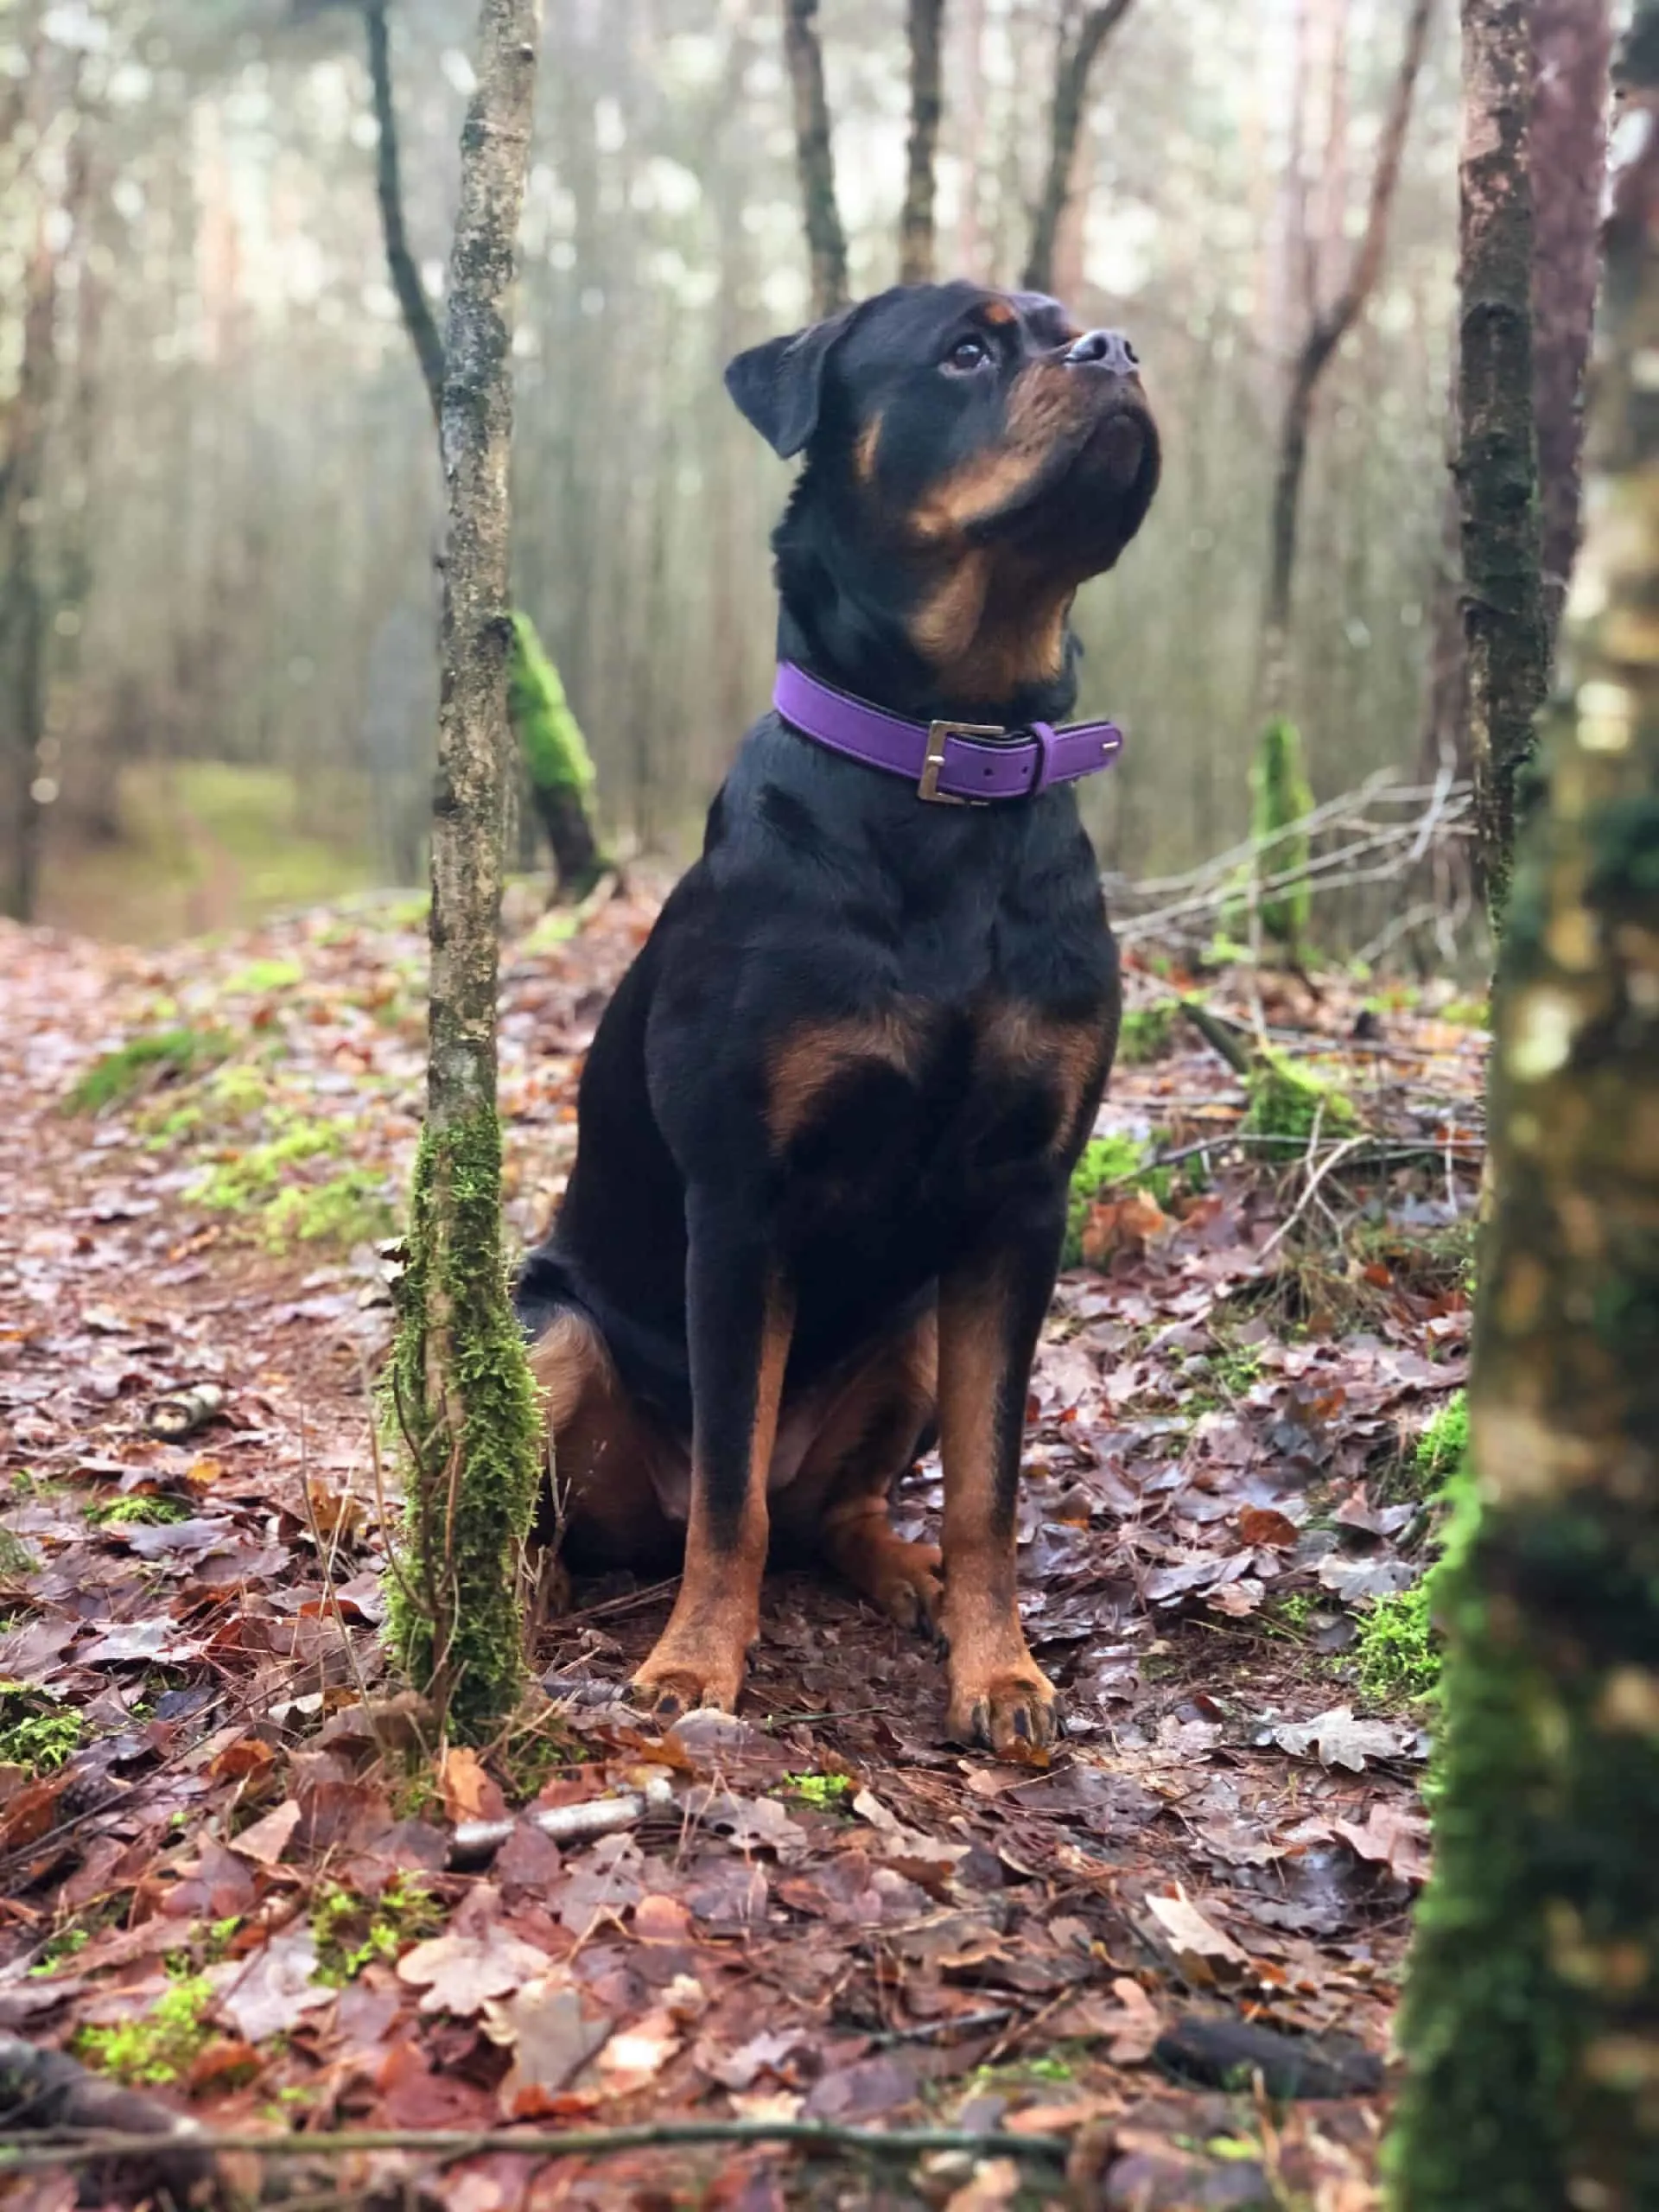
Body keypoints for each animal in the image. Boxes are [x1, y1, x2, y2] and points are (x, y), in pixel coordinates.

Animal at [518, 276, 1159, 1751]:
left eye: (1081, 326)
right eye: (969, 349)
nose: (1118, 352)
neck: (951, 763)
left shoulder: (1022, 1202)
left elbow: (990, 1487)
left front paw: (1002, 1670)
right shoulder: (741, 1196)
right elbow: (731, 1488)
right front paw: (696, 1666)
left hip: (912, 1331)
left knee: (833, 1506)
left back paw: (901, 1572)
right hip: (549, 1331)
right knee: (590, 1507)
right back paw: (528, 1601)